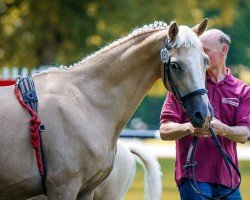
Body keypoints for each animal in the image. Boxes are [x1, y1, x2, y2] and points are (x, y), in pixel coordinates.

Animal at [0, 18, 211, 199]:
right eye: (175, 65)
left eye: (206, 60)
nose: (203, 114)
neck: (84, 100)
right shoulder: (63, 188)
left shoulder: (86, 190)